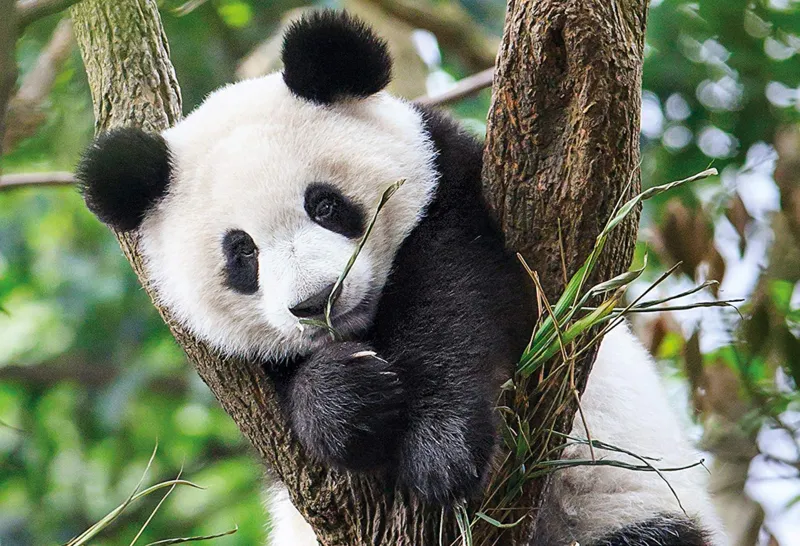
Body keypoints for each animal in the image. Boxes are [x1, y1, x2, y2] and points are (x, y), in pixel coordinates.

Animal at [76, 10, 726, 546]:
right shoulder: (240, 375)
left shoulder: (454, 188)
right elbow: (282, 411)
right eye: (243, 254)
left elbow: (460, 300)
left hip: (622, 497)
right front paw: (346, 397)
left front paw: (440, 451)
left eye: (326, 205)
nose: (318, 301)